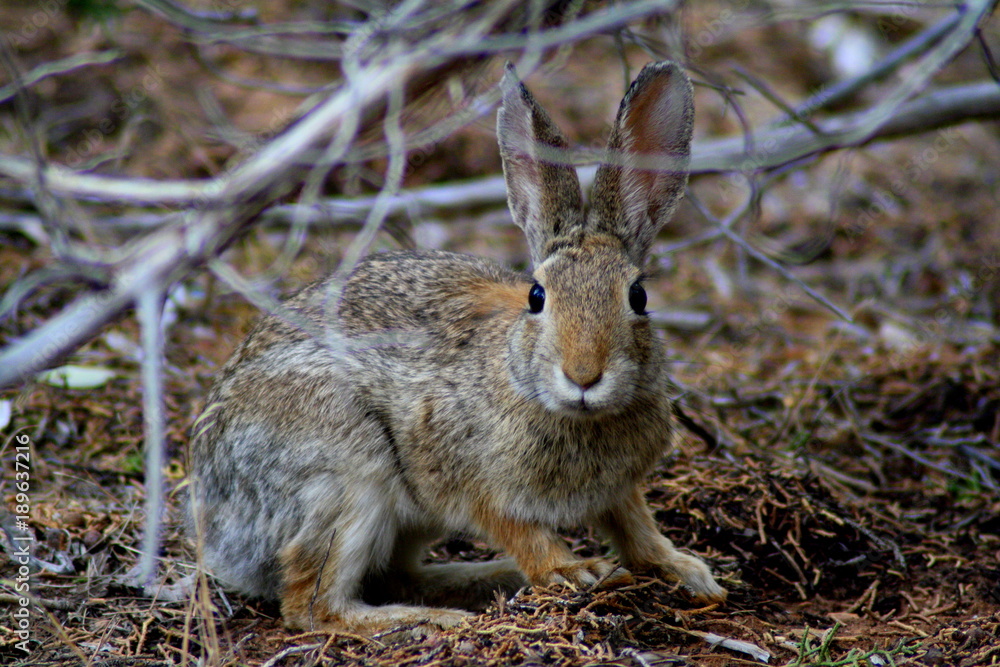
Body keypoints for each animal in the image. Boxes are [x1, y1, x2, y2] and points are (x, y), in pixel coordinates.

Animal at [187, 60, 726, 637]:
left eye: (638, 297)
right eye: (537, 297)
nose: (583, 375)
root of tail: (218, 529)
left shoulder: (619, 489)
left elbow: (635, 527)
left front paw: (686, 573)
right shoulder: (470, 477)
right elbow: (518, 528)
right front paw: (572, 572)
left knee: (396, 575)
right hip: (348, 475)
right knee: (314, 603)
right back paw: (434, 620)